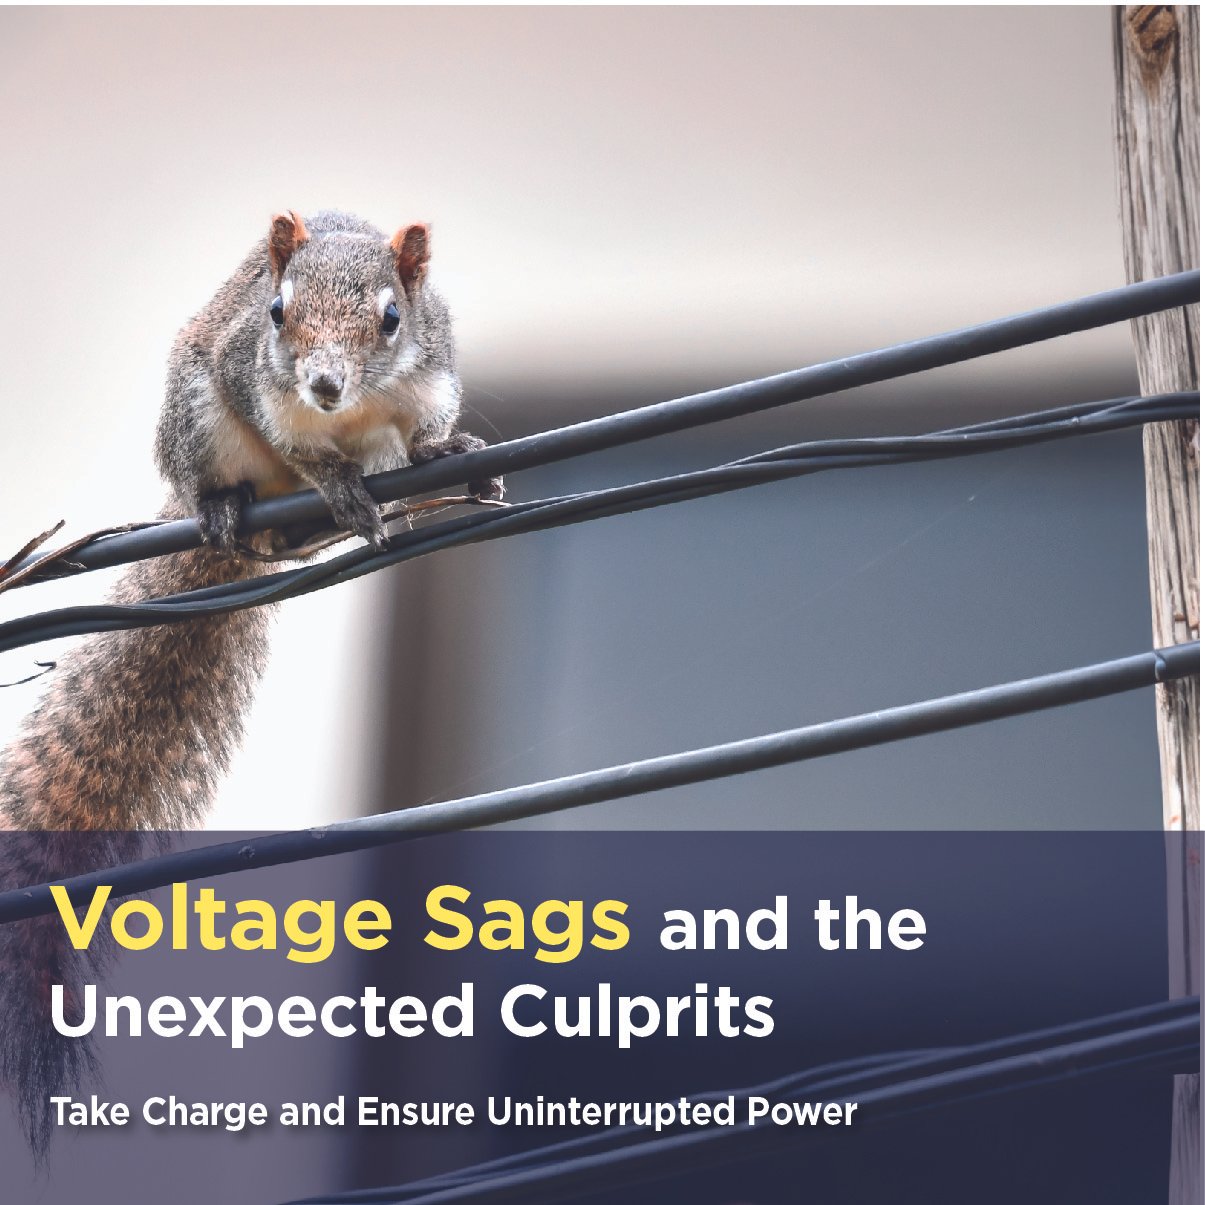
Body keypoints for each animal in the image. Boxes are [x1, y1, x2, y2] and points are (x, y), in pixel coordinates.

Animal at [0, 209, 500, 1154]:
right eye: (276, 312)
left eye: (390, 317)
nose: (326, 384)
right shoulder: (260, 389)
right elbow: (302, 452)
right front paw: (336, 482)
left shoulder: (429, 375)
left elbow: (423, 435)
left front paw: (454, 452)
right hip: (197, 418)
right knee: (229, 481)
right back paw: (232, 508)